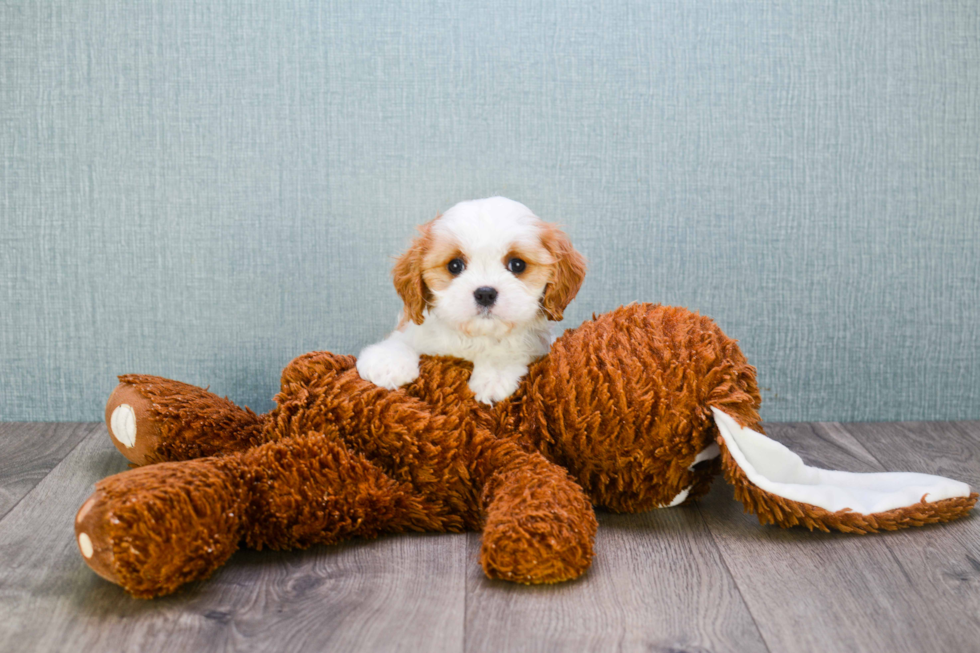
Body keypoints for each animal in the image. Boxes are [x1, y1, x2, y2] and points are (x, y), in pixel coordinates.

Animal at [364, 196, 584, 404]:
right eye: (454, 265)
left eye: (517, 264)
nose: (485, 293)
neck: (475, 337)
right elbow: (401, 339)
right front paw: (387, 362)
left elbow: (507, 350)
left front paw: (493, 376)